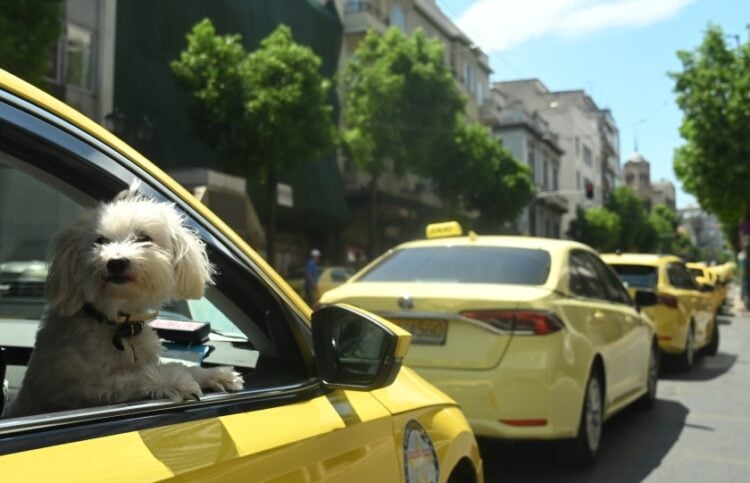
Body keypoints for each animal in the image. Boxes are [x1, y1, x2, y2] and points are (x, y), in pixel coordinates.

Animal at [3, 185, 244, 420]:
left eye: (144, 237)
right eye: (100, 241)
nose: (116, 262)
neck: (119, 323)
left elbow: (183, 367)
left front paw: (216, 374)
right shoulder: (81, 388)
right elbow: (134, 377)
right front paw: (175, 379)